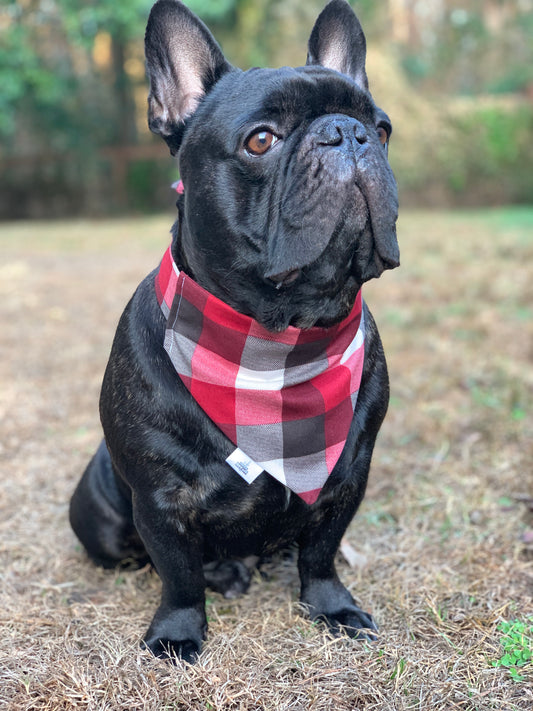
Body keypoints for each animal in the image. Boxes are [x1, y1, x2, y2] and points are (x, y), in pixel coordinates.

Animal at [68, 0, 396, 660]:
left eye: (380, 130)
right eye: (261, 140)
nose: (346, 133)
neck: (277, 340)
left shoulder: (348, 477)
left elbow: (322, 555)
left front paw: (333, 608)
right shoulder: (160, 501)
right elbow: (177, 573)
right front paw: (176, 634)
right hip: (101, 517)